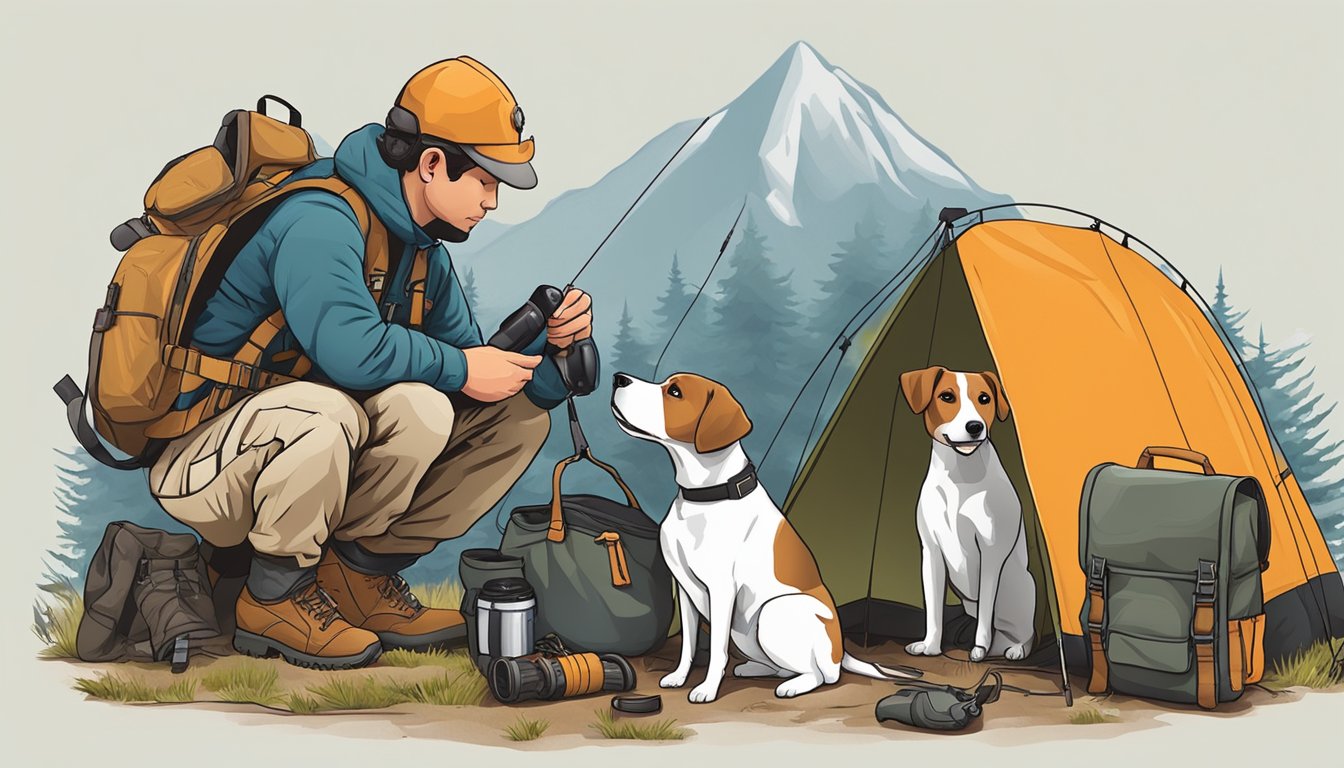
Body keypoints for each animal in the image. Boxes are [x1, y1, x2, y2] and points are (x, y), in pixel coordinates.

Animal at [610, 373, 913, 704]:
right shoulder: (685, 590)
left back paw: (793, 686)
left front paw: (707, 689)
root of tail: (840, 650)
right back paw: (754, 669)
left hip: (774, 611)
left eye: (675, 392)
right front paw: (679, 677)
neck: (705, 497)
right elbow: (688, 645)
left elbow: (716, 651)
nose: (619, 378)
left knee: (823, 675)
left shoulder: (721, 590)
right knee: (784, 667)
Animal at [903, 365, 1037, 661]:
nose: (975, 426)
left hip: (1023, 586)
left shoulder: (991, 553)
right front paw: (930, 646)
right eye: (946, 396)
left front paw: (978, 649)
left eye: (984, 398)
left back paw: (1014, 649)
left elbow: (986, 610)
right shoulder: (931, 552)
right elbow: (934, 610)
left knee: (1024, 632)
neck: (960, 475)